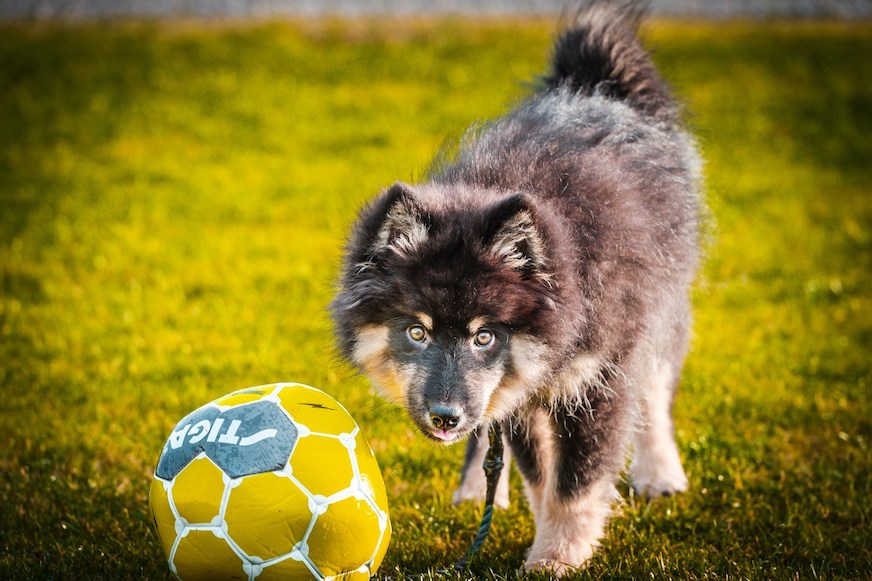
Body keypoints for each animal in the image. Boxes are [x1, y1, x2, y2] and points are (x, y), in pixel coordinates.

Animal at [330, 0, 704, 572]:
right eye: (416, 332)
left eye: (486, 336)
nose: (445, 417)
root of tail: (596, 84)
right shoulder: (521, 391)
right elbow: (540, 475)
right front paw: (544, 538)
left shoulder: (596, 379)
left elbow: (575, 483)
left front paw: (556, 559)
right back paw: (474, 489)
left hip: (662, 304)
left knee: (656, 391)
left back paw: (660, 473)